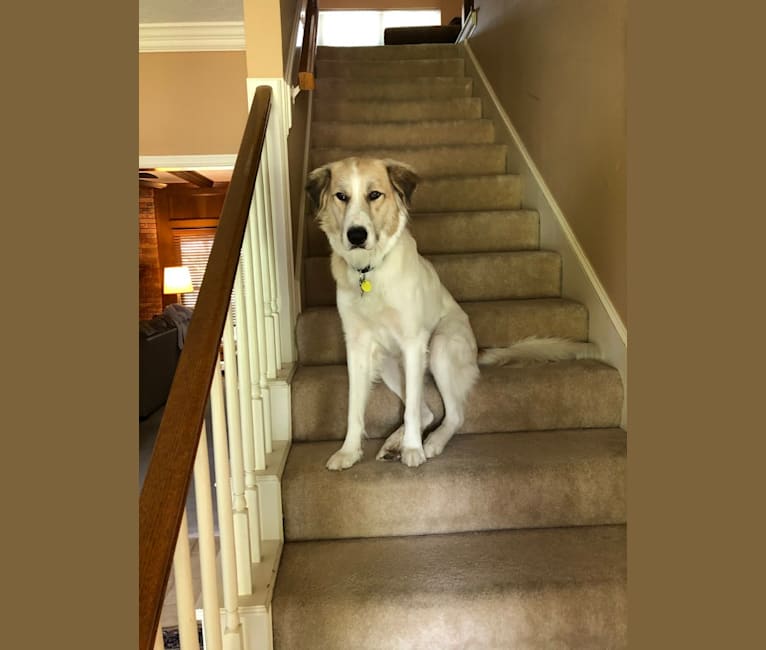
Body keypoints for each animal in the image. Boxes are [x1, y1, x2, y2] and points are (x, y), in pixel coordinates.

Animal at [308, 158, 600, 470]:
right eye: (341, 196)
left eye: (374, 195)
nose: (356, 235)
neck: (369, 271)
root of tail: (476, 350)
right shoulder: (357, 345)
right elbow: (354, 407)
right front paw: (349, 452)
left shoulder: (413, 342)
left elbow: (411, 410)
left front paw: (414, 449)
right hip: (388, 362)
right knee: (425, 410)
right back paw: (393, 443)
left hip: (440, 346)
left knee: (451, 415)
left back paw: (431, 442)